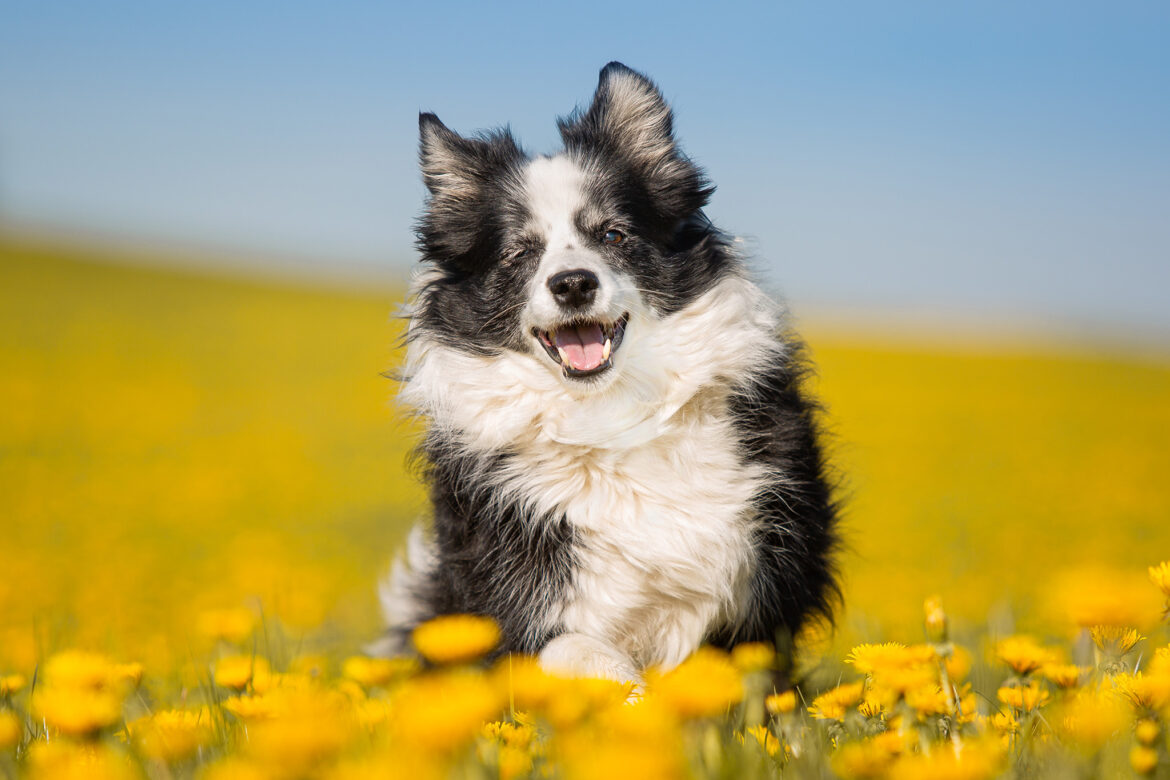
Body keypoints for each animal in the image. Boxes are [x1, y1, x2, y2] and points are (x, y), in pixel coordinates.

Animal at [383, 61, 842, 682]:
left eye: (613, 234)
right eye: (519, 253)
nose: (573, 283)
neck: (609, 413)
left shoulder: (759, 587)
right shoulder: (524, 597)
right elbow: (594, 658)